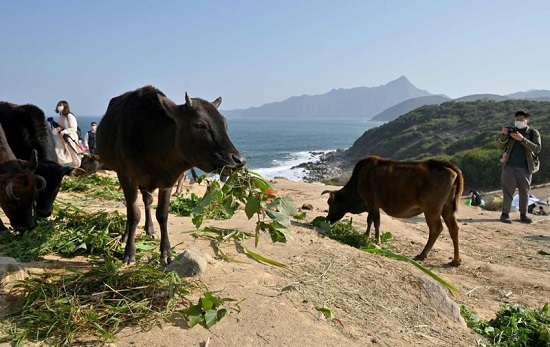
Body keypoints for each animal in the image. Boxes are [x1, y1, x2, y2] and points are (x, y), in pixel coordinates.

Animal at [98, 85, 247, 264]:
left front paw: (166, 252)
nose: (239, 160)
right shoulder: (127, 176)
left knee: (147, 200)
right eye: (200, 124)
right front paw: (129, 252)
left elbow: (162, 215)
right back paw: (127, 235)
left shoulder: (168, 180)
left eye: (225, 124)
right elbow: (133, 214)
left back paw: (150, 229)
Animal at [324, 156, 466, 268]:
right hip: (447, 207)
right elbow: (370, 220)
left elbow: (376, 222)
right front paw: (366, 235)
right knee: (453, 228)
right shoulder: (371, 204)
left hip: (431, 208)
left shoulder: (371, 201)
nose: (327, 219)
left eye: (330, 203)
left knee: (436, 228)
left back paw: (422, 254)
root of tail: (445, 165)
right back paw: (455, 260)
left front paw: (376, 241)